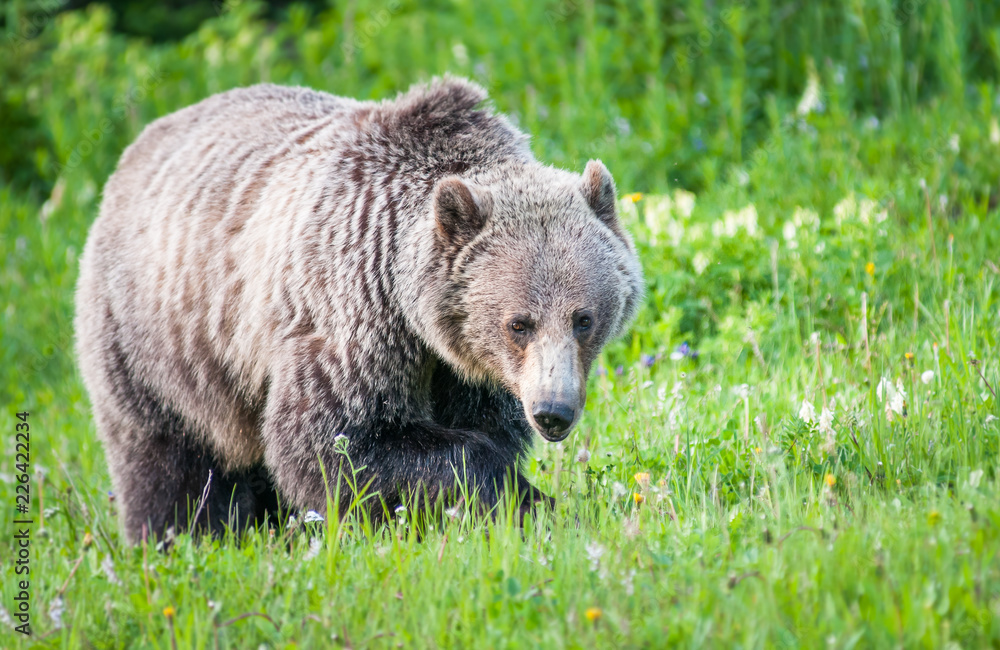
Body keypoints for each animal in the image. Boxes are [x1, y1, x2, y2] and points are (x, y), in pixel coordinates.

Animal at [74, 77, 644, 542]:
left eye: (584, 319)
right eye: (519, 323)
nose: (553, 411)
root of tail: (138, 147)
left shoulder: (469, 368)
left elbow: (485, 426)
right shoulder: (350, 312)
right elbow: (338, 441)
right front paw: (519, 497)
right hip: (158, 341)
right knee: (169, 460)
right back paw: (181, 537)